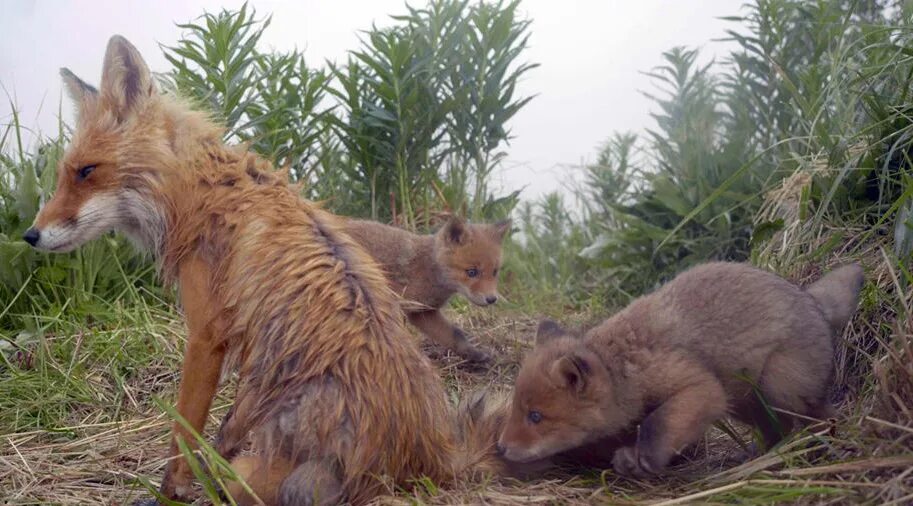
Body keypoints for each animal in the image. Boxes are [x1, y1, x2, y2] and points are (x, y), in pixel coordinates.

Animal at [344, 218, 512, 364]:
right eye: (472, 272)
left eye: (495, 272)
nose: (492, 299)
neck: (428, 269)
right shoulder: (398, 305)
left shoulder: (423, 312)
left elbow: (455, 335)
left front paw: (474, 354)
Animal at [496, 262, 860, 476]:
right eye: (515, 409)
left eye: (536, 417)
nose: (499, 448)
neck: (623, 370)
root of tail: (812, 301)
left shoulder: (699, 388)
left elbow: (657, 424)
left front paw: (643, 459)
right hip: (745, 403)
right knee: (777, 429)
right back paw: (759, 458)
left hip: (779, 389)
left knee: (821, 416)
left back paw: (819, 449)